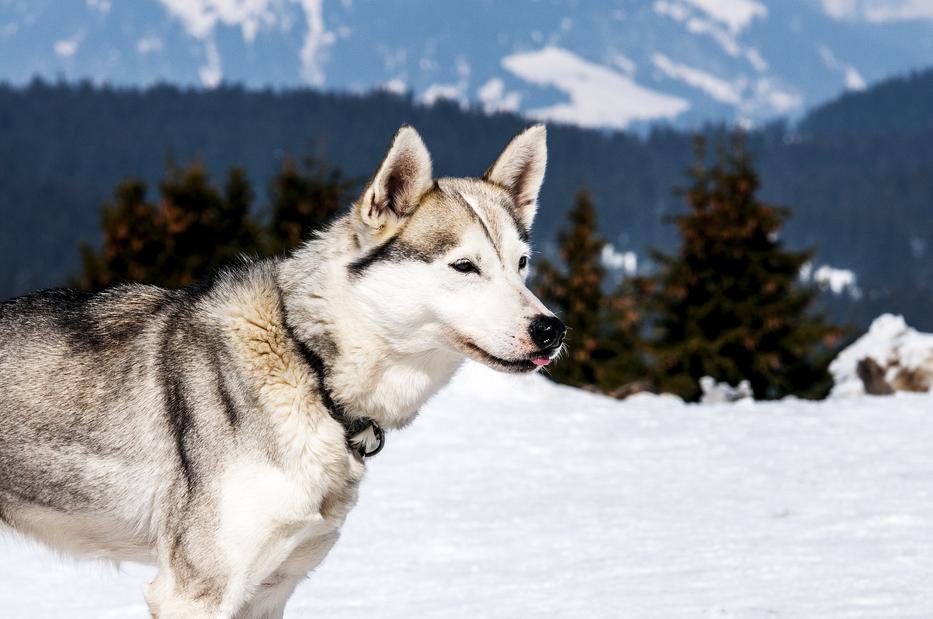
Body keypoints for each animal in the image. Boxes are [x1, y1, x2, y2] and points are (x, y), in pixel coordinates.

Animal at [0, 124, 560, 616]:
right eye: (465, 267)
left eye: (522, 264)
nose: (552, 329)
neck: (310, 367)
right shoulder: (193, 594)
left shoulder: (269, 593)